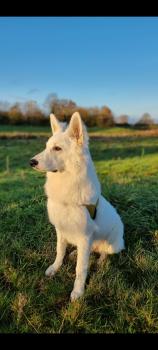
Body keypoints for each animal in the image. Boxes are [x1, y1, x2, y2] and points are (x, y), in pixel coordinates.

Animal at [30, 112, 124, 300]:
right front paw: (55, 268)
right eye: (47, 147)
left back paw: (100, 261)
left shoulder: (85, 236)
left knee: (103, 252)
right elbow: (60, 252)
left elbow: (81, 268)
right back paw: (75, 253)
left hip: (113, 245)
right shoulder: (61, 230)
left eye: (57, 148)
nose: (31, 162)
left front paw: (78, 292)